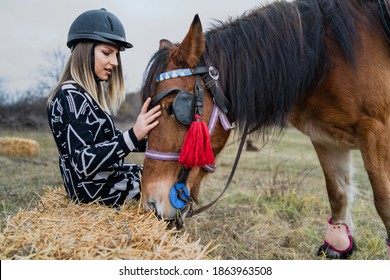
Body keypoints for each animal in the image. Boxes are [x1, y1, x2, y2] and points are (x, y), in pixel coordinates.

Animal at [139, 0, 390, 260]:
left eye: (172, 108)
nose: (150, 204)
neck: (325, 57)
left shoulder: (377, 133)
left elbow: (383, 202)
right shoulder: (326, 139)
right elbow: (337, 192)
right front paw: (337, 244)